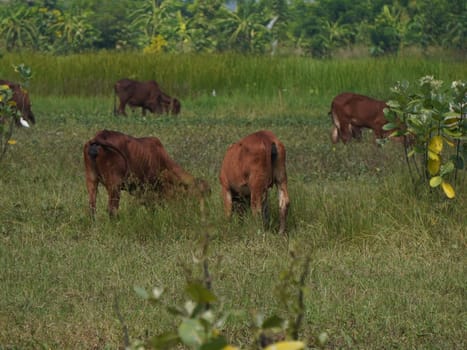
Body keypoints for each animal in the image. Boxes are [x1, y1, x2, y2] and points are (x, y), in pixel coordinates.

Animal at [82, 129, 210, 216]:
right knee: (112, 209)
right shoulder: (150, 187)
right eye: (196, 195)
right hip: (114, 185)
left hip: (91, 180)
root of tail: (99, 136)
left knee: (92, 207)